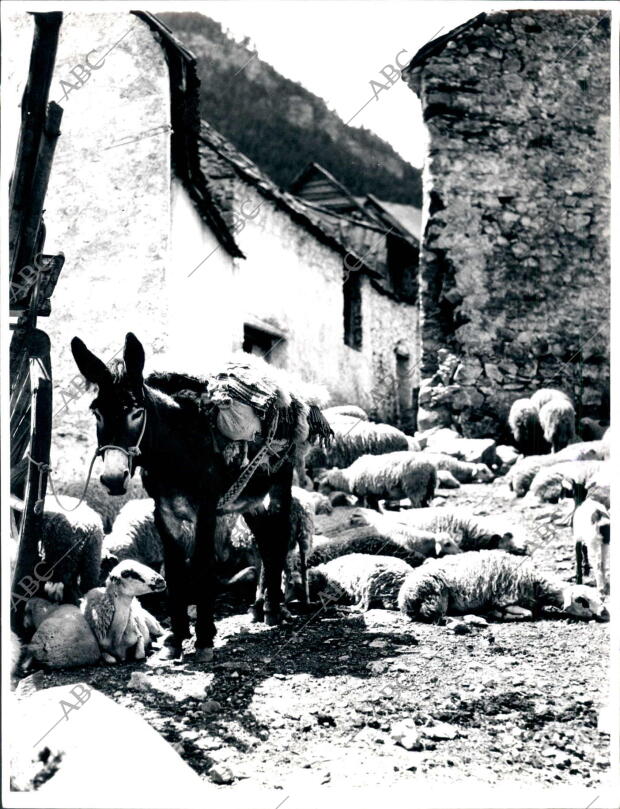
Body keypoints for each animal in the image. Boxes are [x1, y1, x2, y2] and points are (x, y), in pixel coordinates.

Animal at [400, 548, 608, 624]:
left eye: (600, 598)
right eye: (582, 601)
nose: (605, 614)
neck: (537, 584)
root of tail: (403, 598)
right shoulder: (504, 598)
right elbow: (527, 613)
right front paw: (501, 614)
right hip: (435, 597)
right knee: (432, 615)